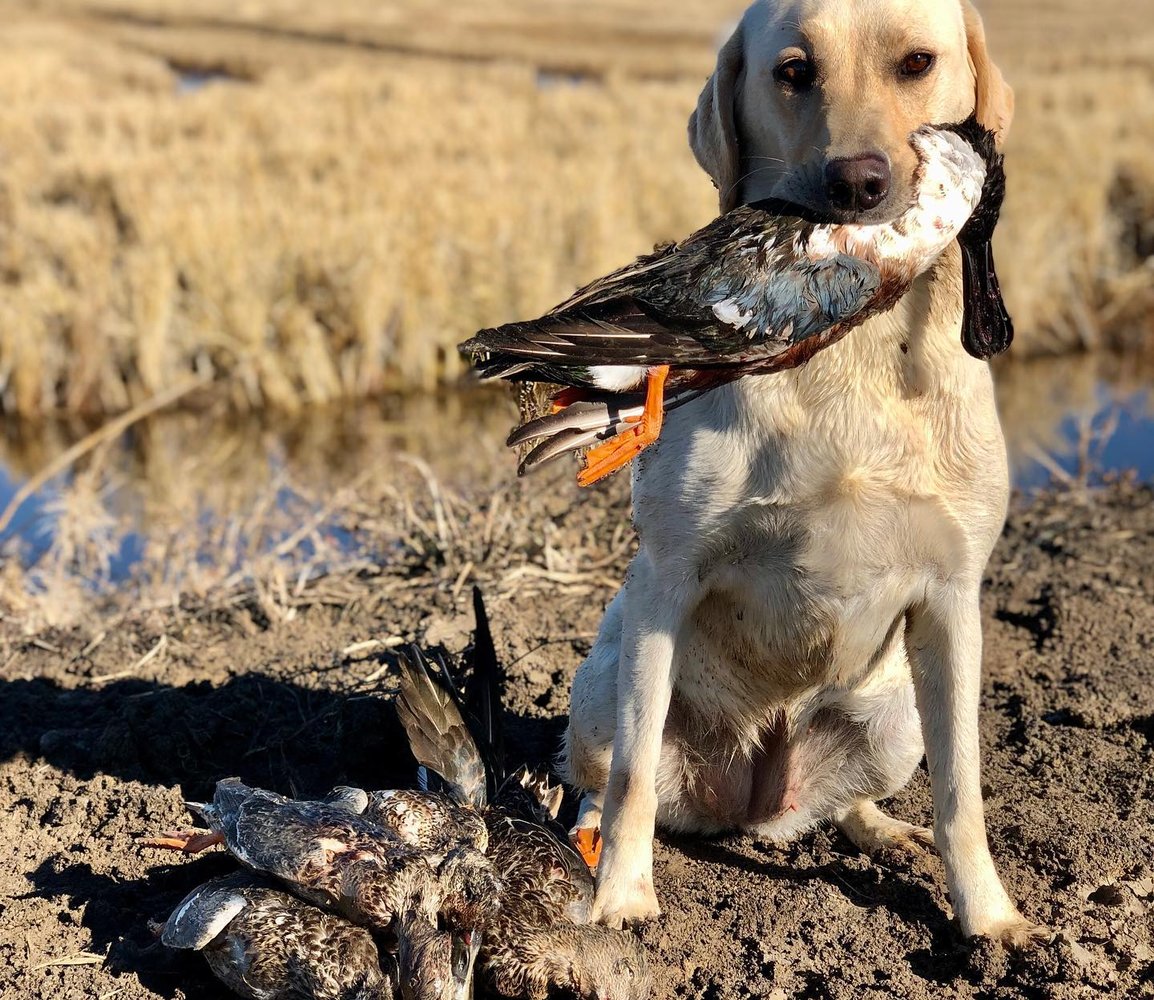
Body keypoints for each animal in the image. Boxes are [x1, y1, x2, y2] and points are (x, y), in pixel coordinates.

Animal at [558, 0, 1047, 945]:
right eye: (793, 72)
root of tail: (753, 794)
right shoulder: (665, 582)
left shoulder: (953, 598)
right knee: (606, 783)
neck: (849, 343)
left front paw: (990, 918)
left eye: (918, 62)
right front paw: (622, 901)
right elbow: (632, 782)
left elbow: (962, 793)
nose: (859, 185)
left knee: (848, 804)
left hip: (894, 715)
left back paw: (883, 830)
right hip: (604, 676)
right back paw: (594, 847)